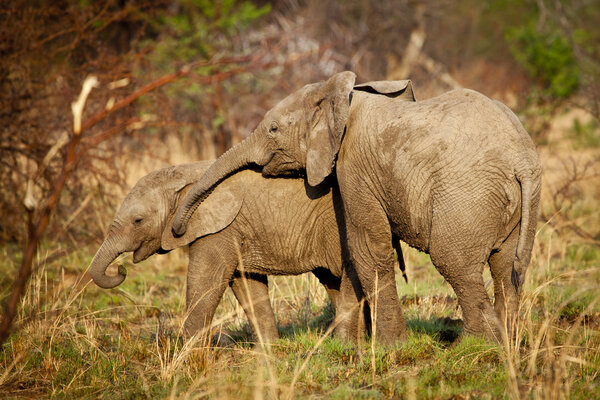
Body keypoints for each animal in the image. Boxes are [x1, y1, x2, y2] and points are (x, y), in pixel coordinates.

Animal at [89, 161, 390, 342]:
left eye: (137, 221)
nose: (121, 268)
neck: (187, 173)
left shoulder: (219, 228)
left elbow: (206, 282)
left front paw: (185, 354)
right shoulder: (232, 232)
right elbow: (246, 285)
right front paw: (269, 350)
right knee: (332, 280)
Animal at [173, 72, 544, 344]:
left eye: (273, 129)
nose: (177, 229)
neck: (341, 97)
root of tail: (523, 159)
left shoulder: (354, 166)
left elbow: (368, 249)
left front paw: (391, 347)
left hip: (466, 195)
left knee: (454, 262)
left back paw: (472, 345)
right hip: (513, 203)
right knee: (507, 267)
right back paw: (508, 343)